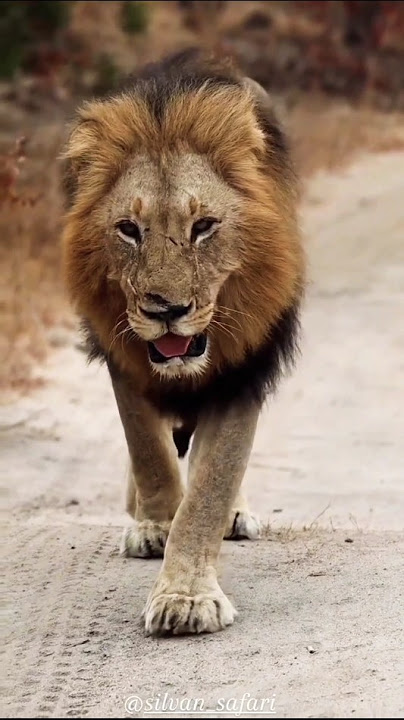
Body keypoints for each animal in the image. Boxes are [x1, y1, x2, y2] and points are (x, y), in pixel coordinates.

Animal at [62, 50, 304, 636]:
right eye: (128, 229)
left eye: (204, 226)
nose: (166, 311)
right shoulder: (122, 357)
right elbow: (147, 450)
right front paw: (157, 523)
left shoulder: (244, 371)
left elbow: (212, 486)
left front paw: (186, 596)